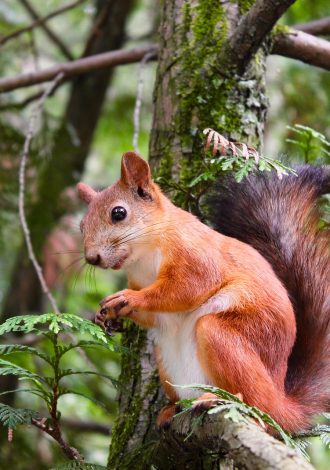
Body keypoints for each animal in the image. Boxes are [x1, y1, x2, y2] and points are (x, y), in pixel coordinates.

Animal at [78, 151, 330, 434]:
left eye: (118, 213)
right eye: (81, 225)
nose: (92, 258)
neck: (144, 256)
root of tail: (281, 401)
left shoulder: (195, 255)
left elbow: (185, 289)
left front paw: (128, 299)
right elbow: (152, 315)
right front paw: (108, 316)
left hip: (226, 337)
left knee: (260, 409)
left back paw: (225, 401)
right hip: (166, 361)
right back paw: (171, 409)